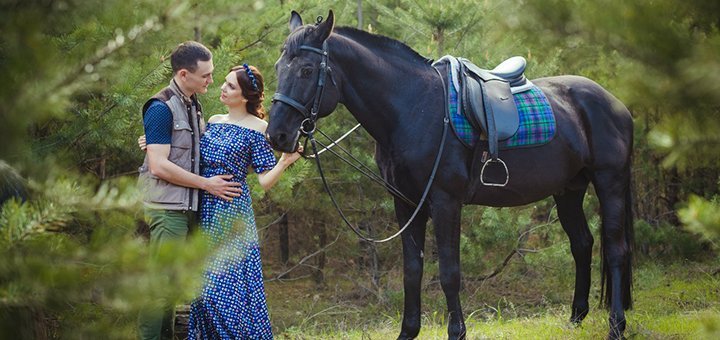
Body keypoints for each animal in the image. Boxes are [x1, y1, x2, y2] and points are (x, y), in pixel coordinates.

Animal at [268, 10, 632, 340]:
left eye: (307, 69)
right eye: (277, 67)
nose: (277, 135)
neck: (413, 107)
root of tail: (617, 105)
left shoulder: (445, 202)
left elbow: (449, 272)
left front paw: (456, 332)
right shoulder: (406, 204)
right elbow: (412, 270)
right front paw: (408, 332)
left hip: (609, 182)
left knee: (615, 250)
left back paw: (616, 325)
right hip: (568, 189)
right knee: (582, 244)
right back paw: (576, 318)